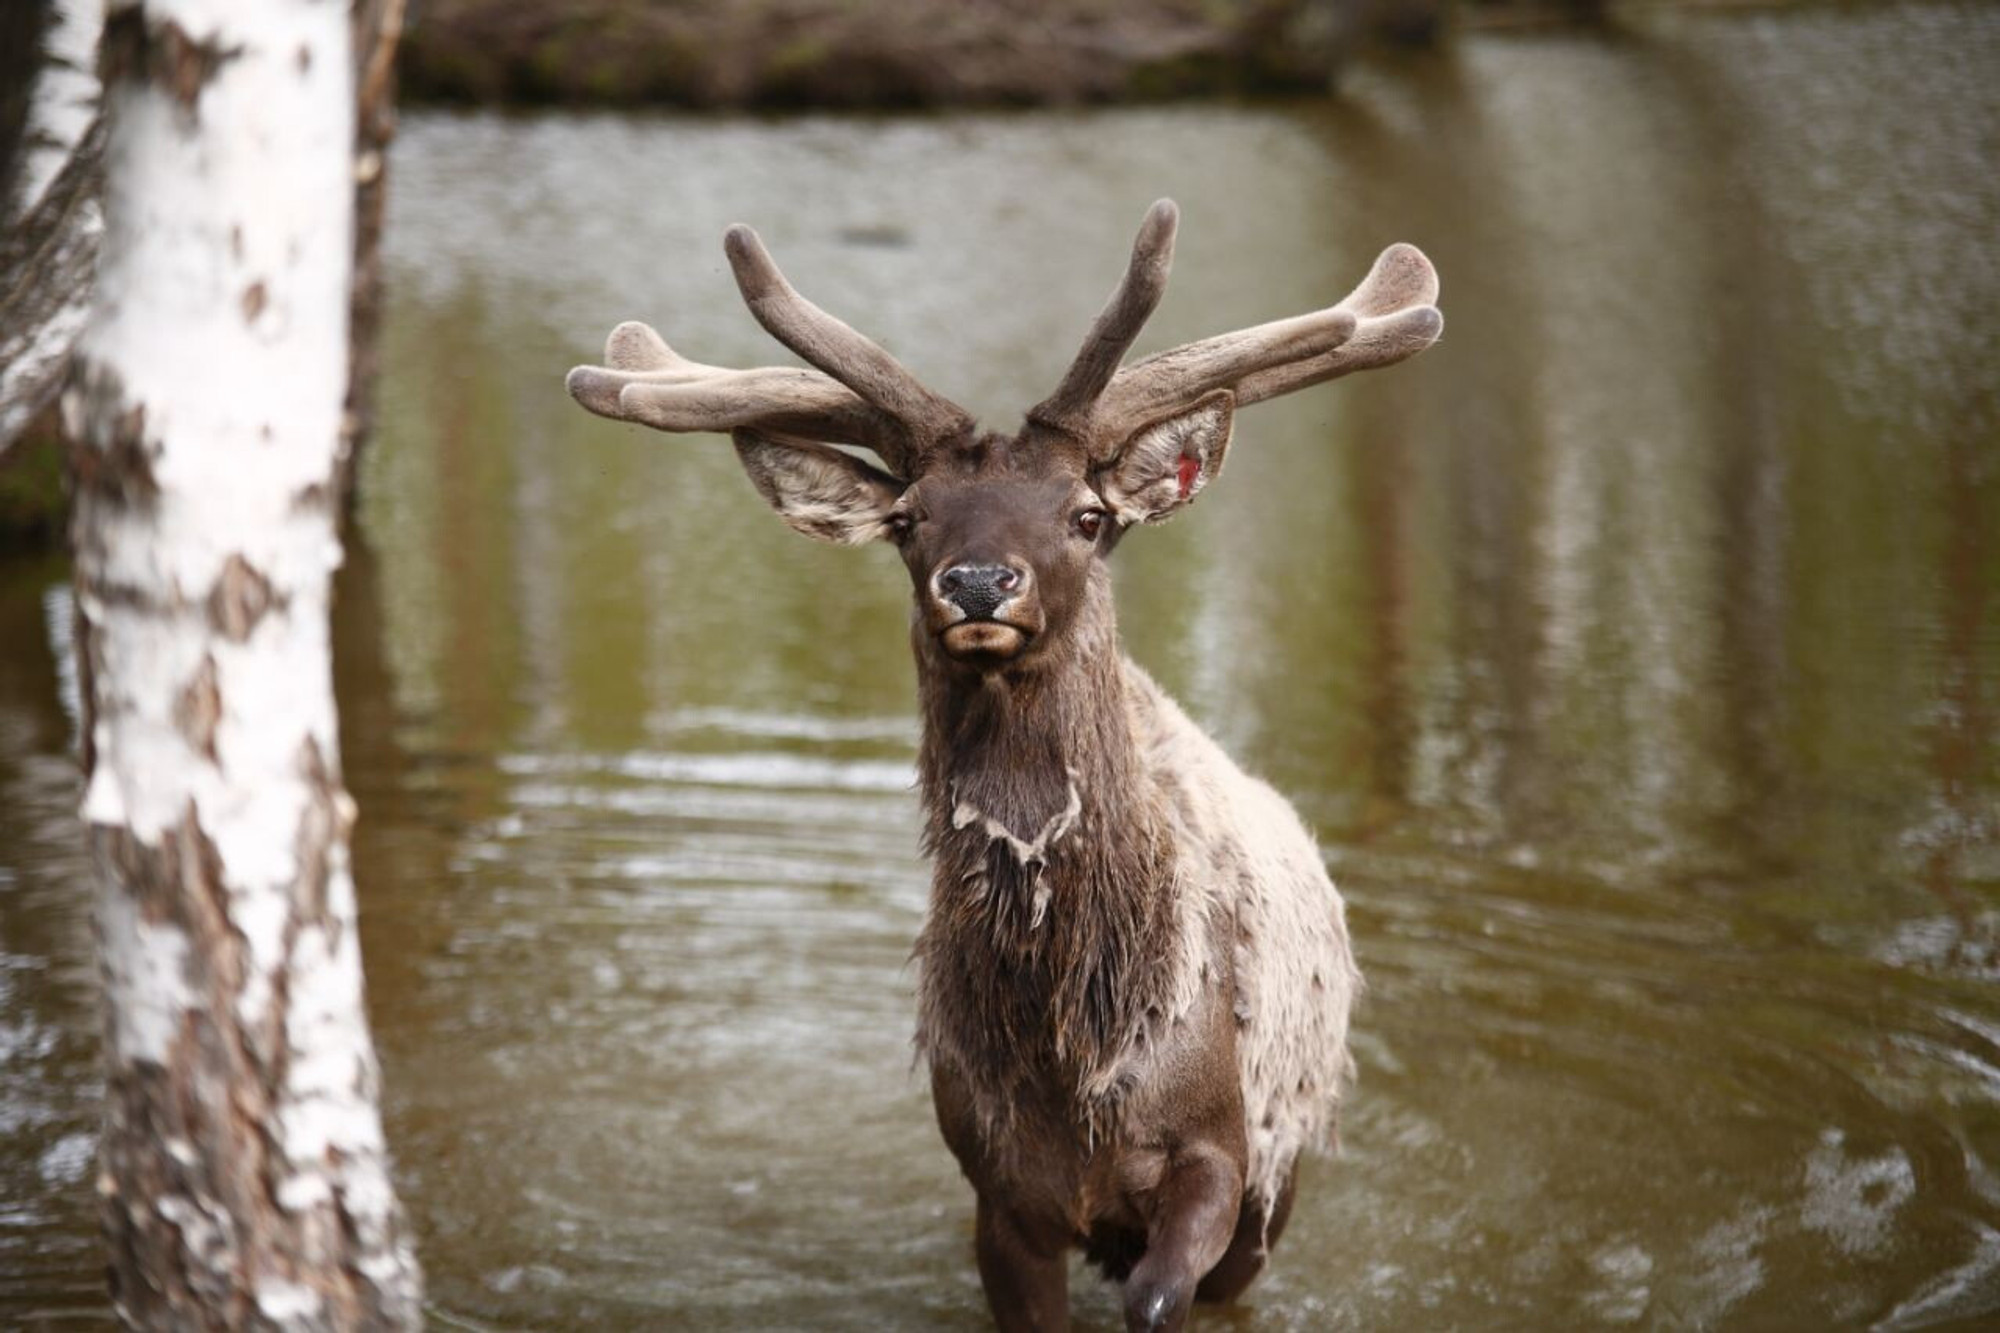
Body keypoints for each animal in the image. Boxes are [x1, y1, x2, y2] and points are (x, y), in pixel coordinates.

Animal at [564, 200, 1440, 1328]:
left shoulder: (1220, 1158)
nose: (978, 582)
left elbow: (1158, 1296)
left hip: (1278, 1187)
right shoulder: (997, 1187)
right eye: (908, 519)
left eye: (1086, 514)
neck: (1076, 1054)